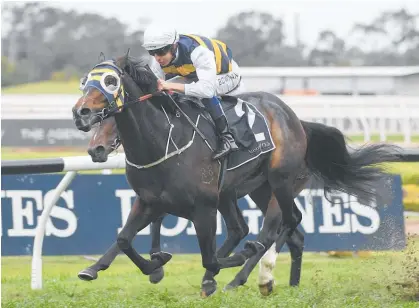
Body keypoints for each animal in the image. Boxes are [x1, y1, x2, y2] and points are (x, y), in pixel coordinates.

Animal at [80, 115, 306, 294]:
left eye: (116, 121)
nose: (95, 149)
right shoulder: (155, 198)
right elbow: (126, 236)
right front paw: (94, 268)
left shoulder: (192, 199)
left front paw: (156, 264)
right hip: (250, 191)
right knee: (257, 229)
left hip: (277, 184)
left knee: (276, 227)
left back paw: (249, 277)